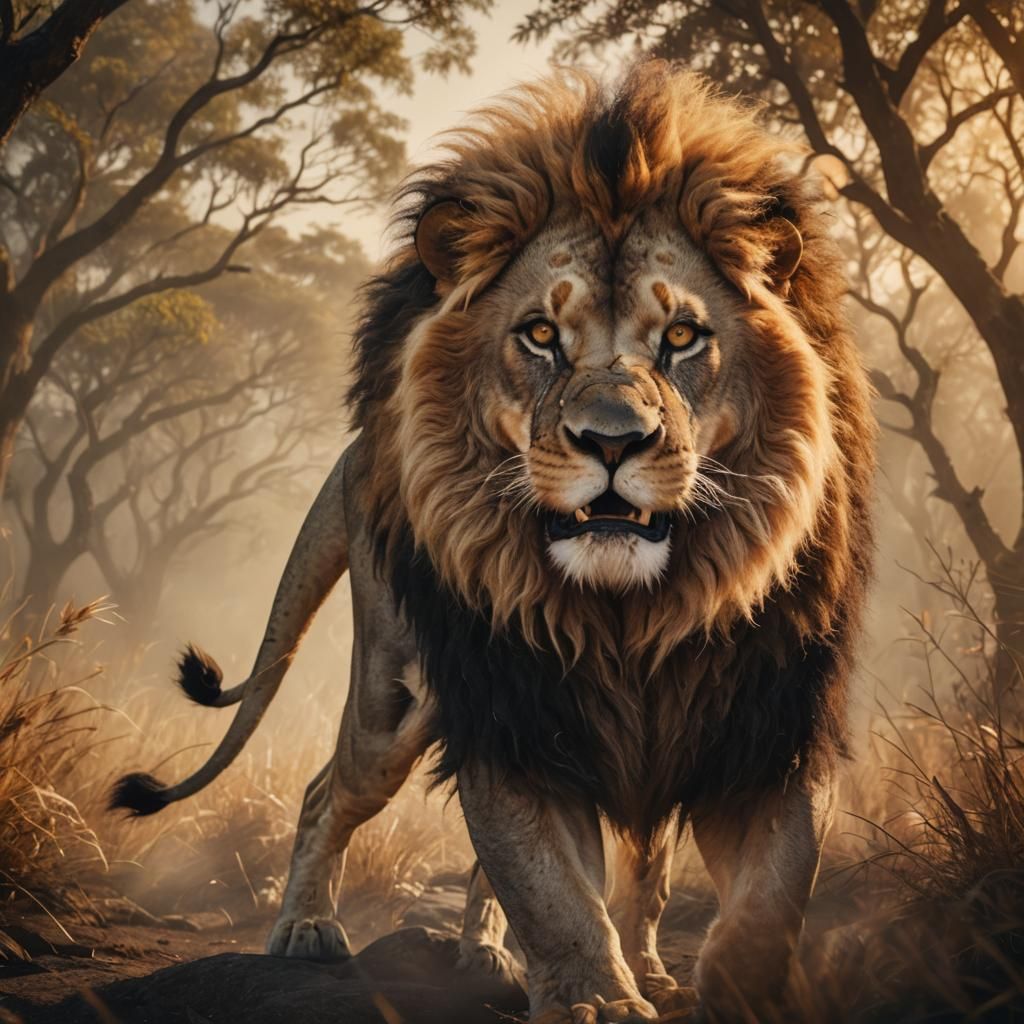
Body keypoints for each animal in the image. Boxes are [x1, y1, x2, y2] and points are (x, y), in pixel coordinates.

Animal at [111, 62, 875, 1023]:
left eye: (682, 337)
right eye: (541, 335)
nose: (613, 442)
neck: (635, 615)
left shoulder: (768, 725)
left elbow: (767, 904)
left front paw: (720, 990)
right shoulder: (514, 714)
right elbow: (550, 889)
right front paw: (597, 1000)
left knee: (624, 868)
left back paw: (542, 955)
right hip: (391, 696)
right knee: (329, 794)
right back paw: (314, 930)